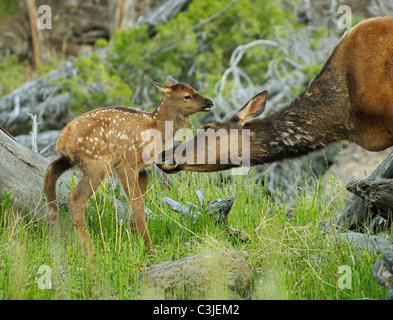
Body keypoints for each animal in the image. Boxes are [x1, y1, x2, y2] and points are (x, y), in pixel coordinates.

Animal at [44, 75, 213, 252]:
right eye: (187, 96)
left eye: (195, 89)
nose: (210, 102)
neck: (158, 127)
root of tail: (63, 138)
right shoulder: (127, 162)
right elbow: (137, 201)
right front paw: (148, 246)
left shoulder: (141, 168)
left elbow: (139, 192)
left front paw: (132, 230)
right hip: (98, 161)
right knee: (76, 199)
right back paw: (90, 250)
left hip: (70, 159)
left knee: (50, 172)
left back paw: (50, 232)